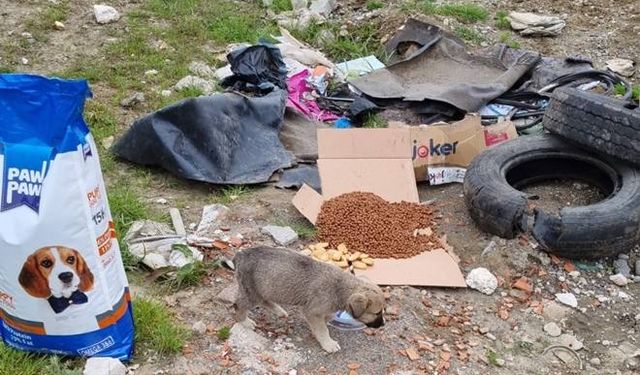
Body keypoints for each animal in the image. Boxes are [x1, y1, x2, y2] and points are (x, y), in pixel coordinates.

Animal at [232, 247, 388, 352]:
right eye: (376, 313)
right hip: (251, 292)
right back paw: (245, 322)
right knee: (238, 305)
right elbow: (323, 329)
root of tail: (240, 254)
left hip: (266, 288)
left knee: (264, 301)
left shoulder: (320, 311)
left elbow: (326, 320)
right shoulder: (312, 311)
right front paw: (328, 343)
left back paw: (279, 311)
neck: (340, 287)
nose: (383, 324)